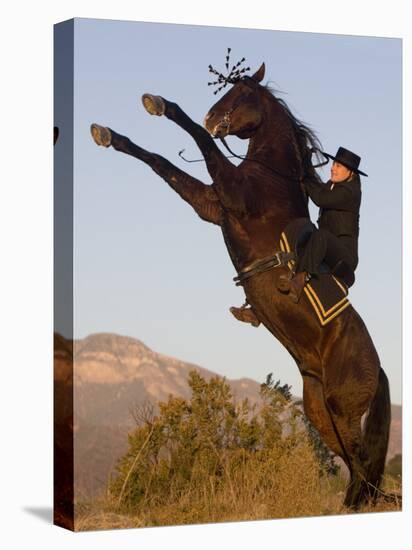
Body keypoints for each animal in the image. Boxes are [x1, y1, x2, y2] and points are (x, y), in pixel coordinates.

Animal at [91, 61, 392, 508]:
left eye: (243, 95)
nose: (212, 118)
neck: (272, 175)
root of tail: (379, 366)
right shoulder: (212, 205)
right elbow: (161, 163)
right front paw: (110, 134)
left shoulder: (230, 195)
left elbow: (198, 145)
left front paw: (161, 105)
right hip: (321, 412)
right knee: (354, 463)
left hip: (343, 405)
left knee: (361, 463)